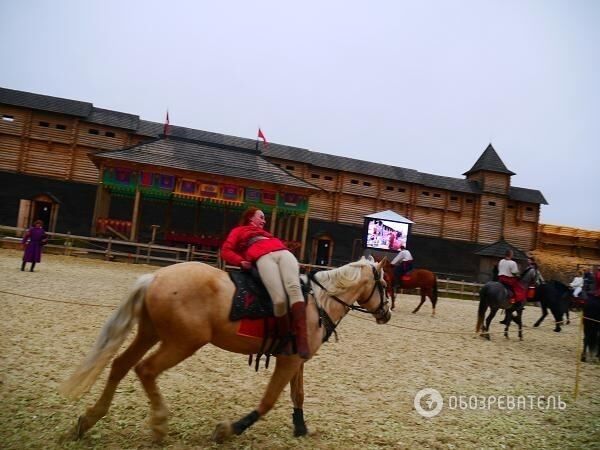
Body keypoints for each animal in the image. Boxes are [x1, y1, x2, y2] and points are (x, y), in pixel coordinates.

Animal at [58, 256, 392, 442]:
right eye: (386, 285)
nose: (387, 312)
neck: (316, 303)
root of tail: (156, 276)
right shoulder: (289, 360)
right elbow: (268, 401)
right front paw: (230, 429)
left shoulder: (297, 359)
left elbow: (297, 395)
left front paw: (301, 428)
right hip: (183, 342)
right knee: (145, 370)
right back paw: (159, 424)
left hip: (150, 333)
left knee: (120, 365)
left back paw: (89, 419)